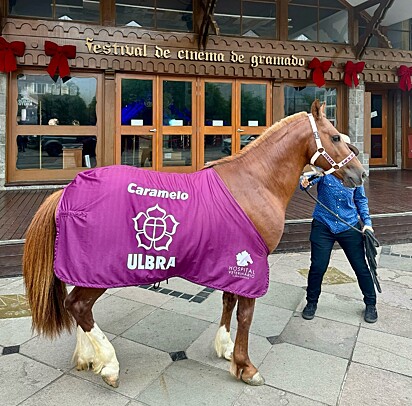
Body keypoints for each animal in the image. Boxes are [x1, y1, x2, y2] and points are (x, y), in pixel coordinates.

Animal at [22, 100, 366, 388]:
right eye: (335, 137)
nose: (359, 174)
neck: (255, 183)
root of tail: (67, 192)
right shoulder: (252, 263)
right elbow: (245, 314)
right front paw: (246, 367)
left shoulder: (233, 261)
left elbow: (228, 302)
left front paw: (226, 348)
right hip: (100, 271)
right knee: (78, 306)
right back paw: (108, 364)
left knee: (77, 307)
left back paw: (87, 356)